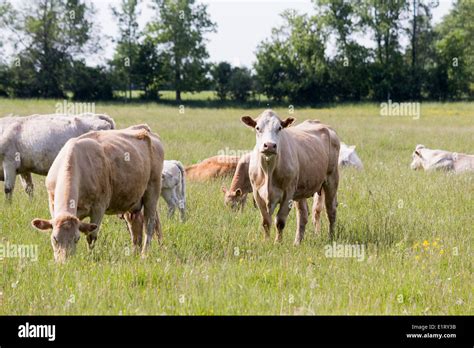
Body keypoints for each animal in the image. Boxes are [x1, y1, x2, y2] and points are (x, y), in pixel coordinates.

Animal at [31, 123, 165, 262]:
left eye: (76, 239)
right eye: (55, 238)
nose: (64, 261)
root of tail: (144, 129)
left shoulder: (99, 208)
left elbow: (91, 237)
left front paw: (90, 258)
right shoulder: (52, 204)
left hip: (153, 191)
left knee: (149, 225)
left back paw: (144, 254)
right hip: (133, 201)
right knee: (136, 227)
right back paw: (135, 254)